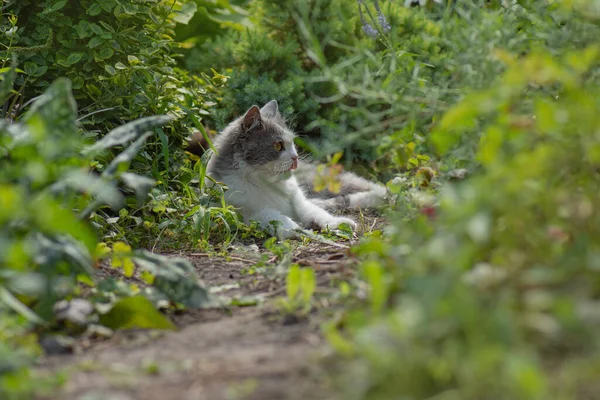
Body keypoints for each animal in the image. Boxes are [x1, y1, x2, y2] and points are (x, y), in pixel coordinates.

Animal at [204, 100, 386, 239]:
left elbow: (315, 213)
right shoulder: (250, 212)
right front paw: (301, 230)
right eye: (278, 146)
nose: (296, 157)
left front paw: (338, 223)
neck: (267, 183)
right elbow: (280, 219)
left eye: (292, 143)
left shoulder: (299, 201)